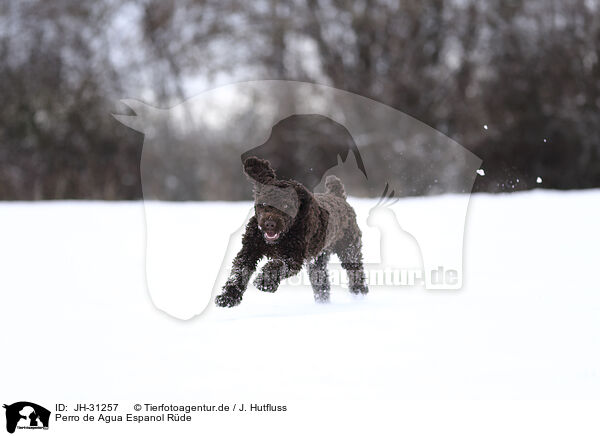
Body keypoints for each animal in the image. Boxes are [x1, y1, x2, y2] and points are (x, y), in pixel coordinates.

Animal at [213, 157, 368, 306]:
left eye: (286, 205)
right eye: (264, 204)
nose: (269, 224)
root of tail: (338, 196)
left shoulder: (293, 257)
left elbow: (278, 265)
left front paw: (265, 282)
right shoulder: (249, 250)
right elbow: (239, 272)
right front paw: (228, 297)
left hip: (349, 248)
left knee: (355, 271)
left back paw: (359, 294)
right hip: (318, 259)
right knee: (320, 281)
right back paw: (323, 303)